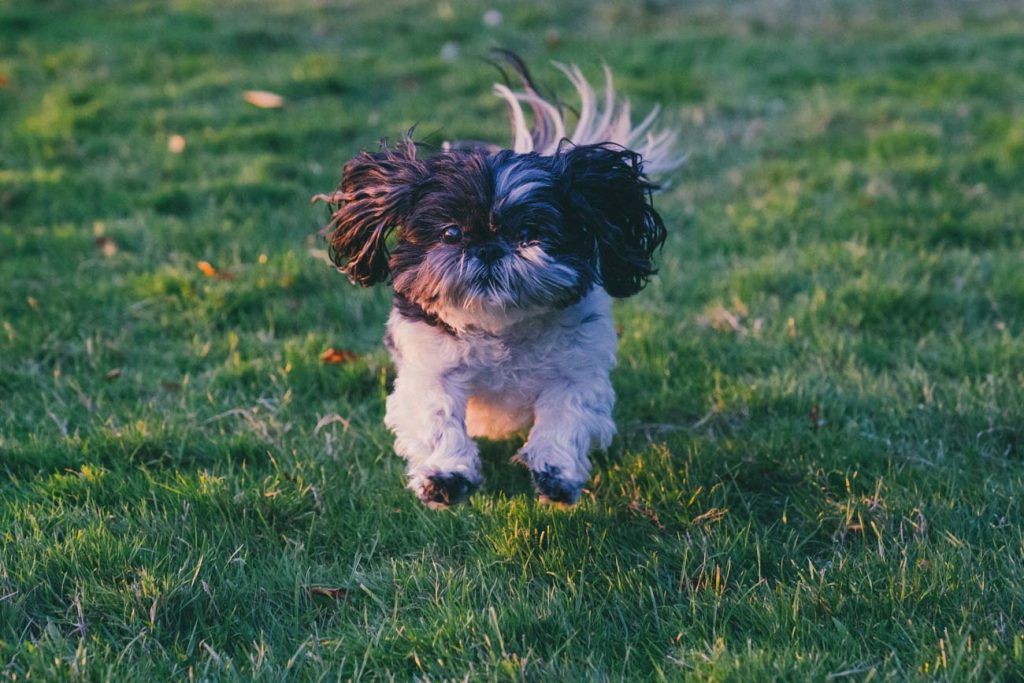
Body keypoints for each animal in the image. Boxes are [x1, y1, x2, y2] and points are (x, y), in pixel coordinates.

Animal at [311, 54, 679, 507]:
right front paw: (446, 475)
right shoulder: (429, 366)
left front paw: (555, 474)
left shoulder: (577, 371)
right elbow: (437, 418)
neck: (500, 327)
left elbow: (566, 418)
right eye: (451, 233)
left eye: (530, 233)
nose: (488, 248)